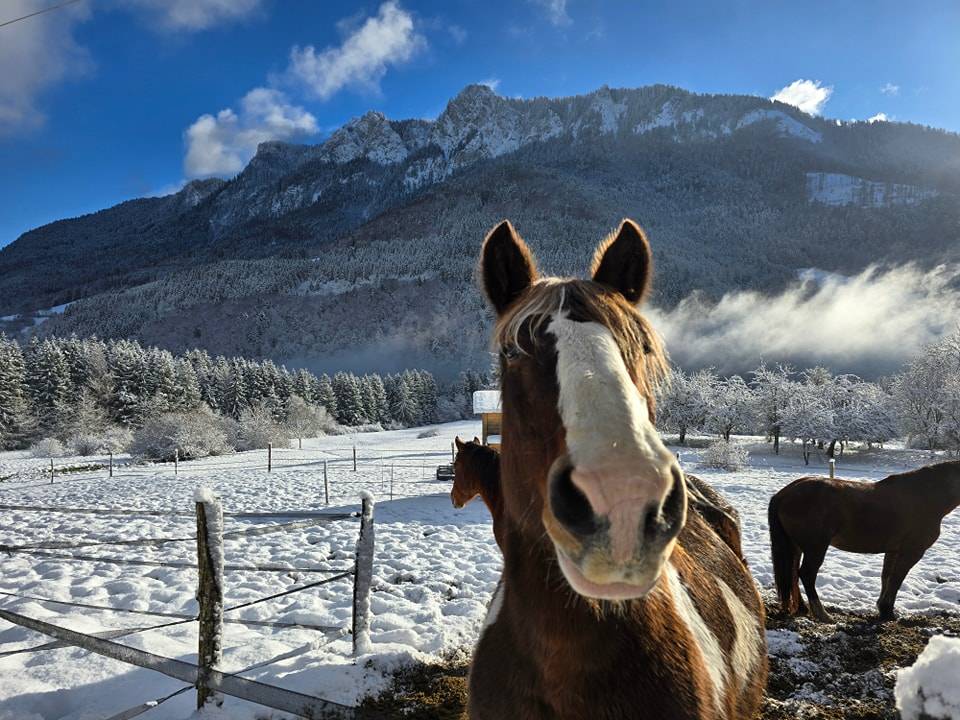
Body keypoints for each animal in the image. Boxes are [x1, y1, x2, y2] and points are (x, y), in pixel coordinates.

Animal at [769, 460, 960, 623]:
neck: (925, 496)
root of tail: (784, 493)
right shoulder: (911, 551)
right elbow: (896, 579)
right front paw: (887, 611)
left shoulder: (893, 550)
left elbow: (886, 577)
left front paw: (883, 609)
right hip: (816, 548)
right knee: (806, 574)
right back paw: (822, 614)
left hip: (796, 546)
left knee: (793, 573)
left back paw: (802, 608)